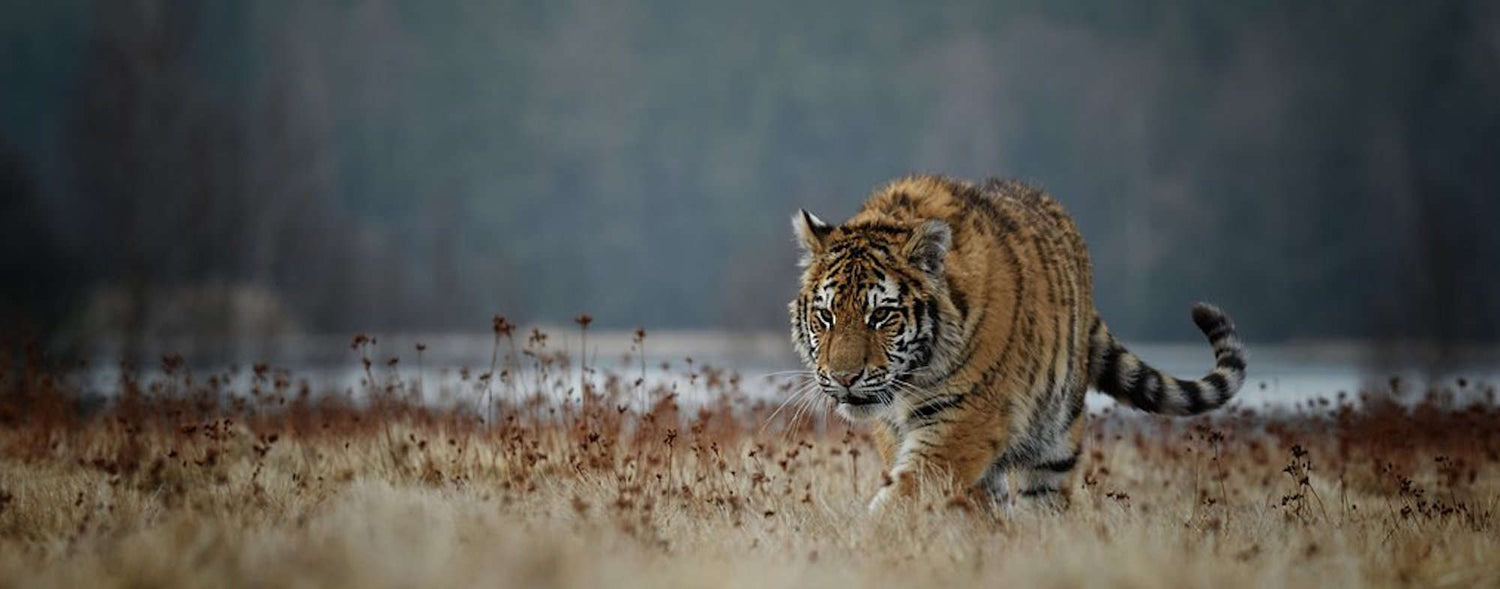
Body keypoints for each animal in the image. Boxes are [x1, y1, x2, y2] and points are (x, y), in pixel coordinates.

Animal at [787, 174, 1247, 512]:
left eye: (881, 315)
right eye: (826, 316)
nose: (845, 378)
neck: (912, 380)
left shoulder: (966, 419)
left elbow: (912, 490)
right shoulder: (892, 428)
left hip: (1055, 438)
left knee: (1044, 500)